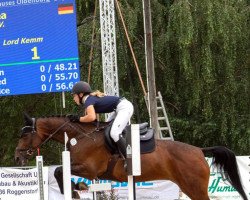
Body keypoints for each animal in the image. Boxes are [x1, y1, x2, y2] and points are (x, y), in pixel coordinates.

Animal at [15, 114, 248, 200]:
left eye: (25, 135)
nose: (17, 158)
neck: (80, 136)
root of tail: (199, 150)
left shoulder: (90, 169)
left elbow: (59, 170)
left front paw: (75, 189)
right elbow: (59, 171)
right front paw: (75, 189)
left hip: (194, 187)